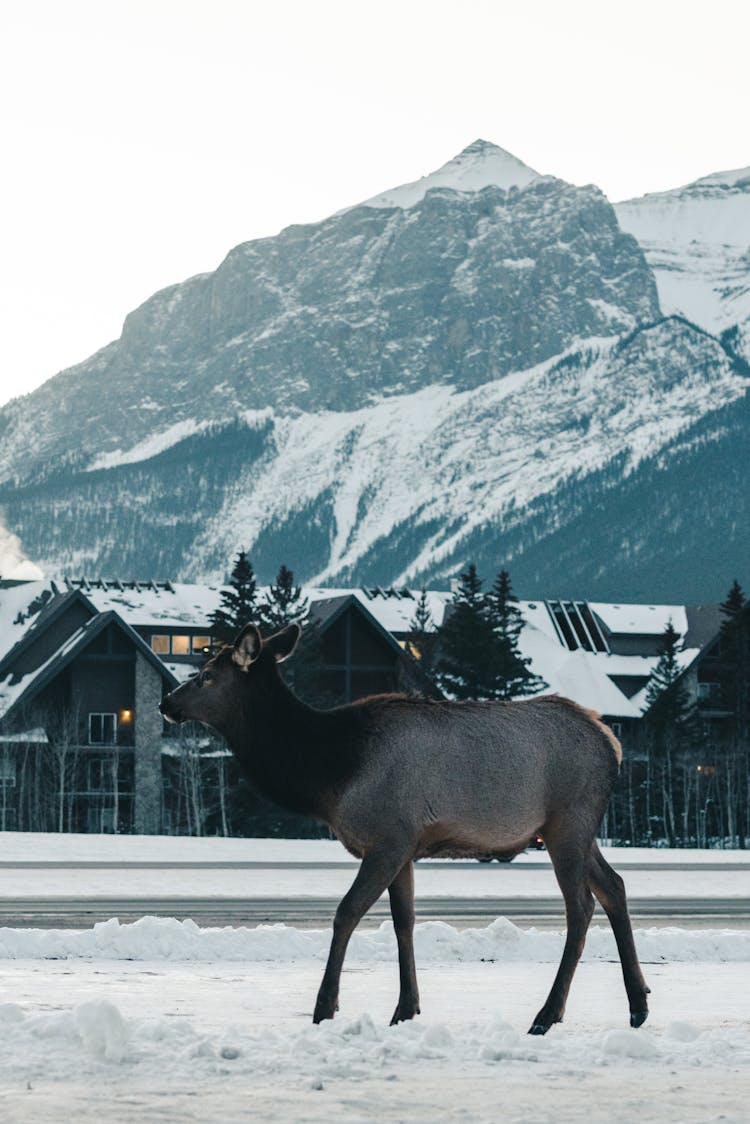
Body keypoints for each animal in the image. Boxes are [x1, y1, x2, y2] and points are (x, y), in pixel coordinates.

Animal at [159, 624, 652, 1034]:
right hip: (576, 830)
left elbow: (347, 912)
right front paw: (405, 1007)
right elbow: (403, 921)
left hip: (568, 820)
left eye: (206, 675)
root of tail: (613, 742)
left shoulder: (388, 838)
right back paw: (638, 1003)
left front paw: (325, 1007)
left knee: (581, 907)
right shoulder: (406, 846)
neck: (327, 773)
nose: (166, 703)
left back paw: (548, 1014)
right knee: (615, 886)